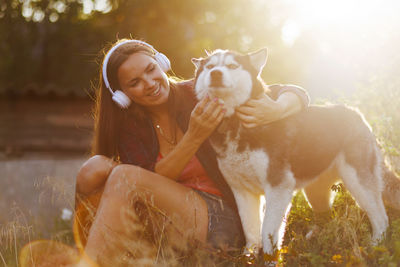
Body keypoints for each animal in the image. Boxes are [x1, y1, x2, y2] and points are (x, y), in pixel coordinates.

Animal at [191, 48, 400, 255]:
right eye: (210, 66)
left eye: (232, 66)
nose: (215, 74)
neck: (235, 123)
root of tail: (356, 113)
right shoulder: (242, 191)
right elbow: (250, 231)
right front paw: (248, 257)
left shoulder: (278, 187)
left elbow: (268, 231)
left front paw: (270, 258)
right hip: (315, 189)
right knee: (327, 216)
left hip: (358, 182)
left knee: (381, 218)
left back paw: (376, 246)